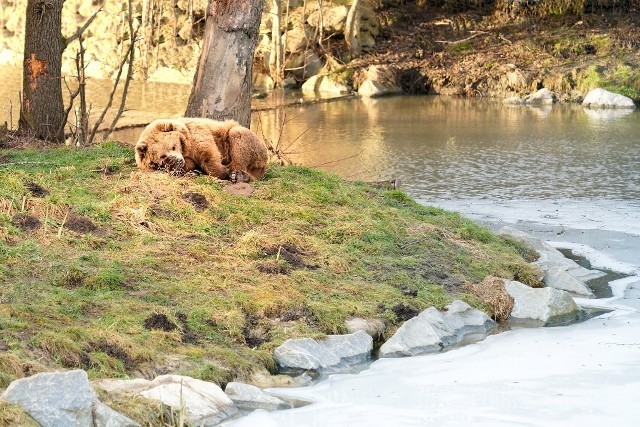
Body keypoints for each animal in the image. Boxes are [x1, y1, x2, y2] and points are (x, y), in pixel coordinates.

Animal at [134, 118, 268, 183]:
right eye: (162, 156)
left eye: (173, 146)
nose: (175, 160)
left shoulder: (197, 133)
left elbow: (209, 155)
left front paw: (224, 172)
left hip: (255, 150)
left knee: (238, 137)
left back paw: (237, 175)